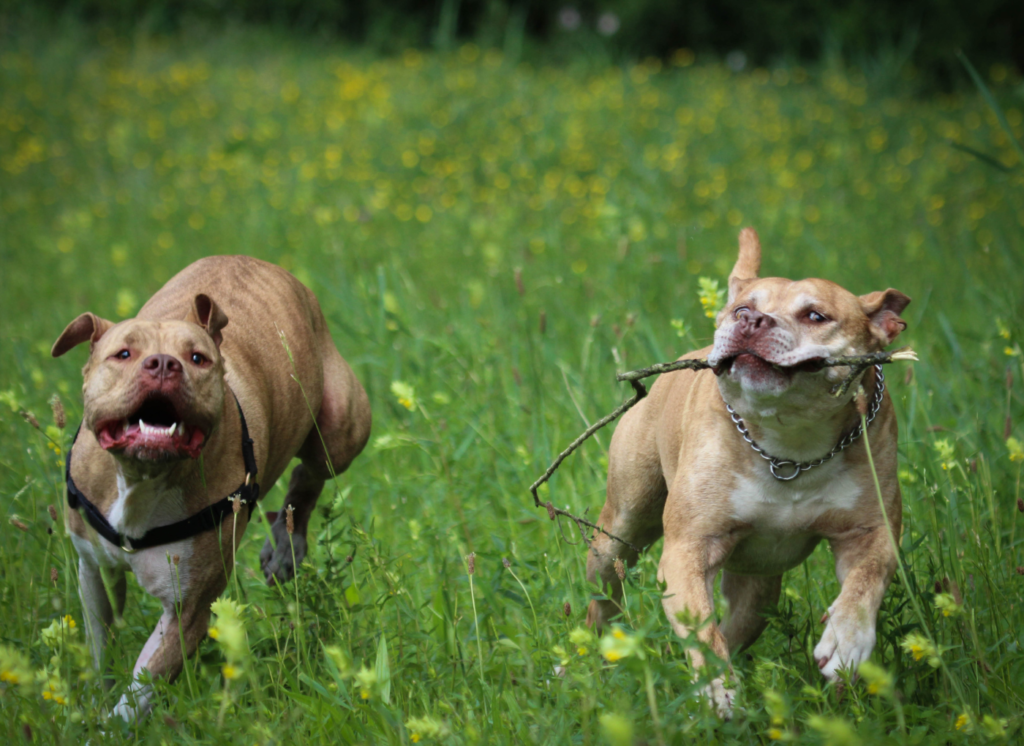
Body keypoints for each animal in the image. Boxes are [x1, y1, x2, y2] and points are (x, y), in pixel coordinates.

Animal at [51, 254, 372, 716]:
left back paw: (285, 547)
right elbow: (101, 652)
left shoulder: (187, 612)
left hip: (341, 424)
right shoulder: (94, 571)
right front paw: (93, 705)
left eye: (198, 358)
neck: (141, 478)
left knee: (310, 474)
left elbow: (134, 699)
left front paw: (107, 723)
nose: (163, 364)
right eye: (123, 354)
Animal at [585, 228, 913, 716]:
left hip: (757, 589)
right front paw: (716, 687)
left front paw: (845, 641)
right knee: (604, 600)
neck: (789, 445)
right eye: (743, 308)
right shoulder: (688, 548)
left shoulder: (871, 533)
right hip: (618, 533)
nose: (752, 320)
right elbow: (700, 629)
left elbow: (864, 583)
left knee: (737, 624)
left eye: (815, 315)